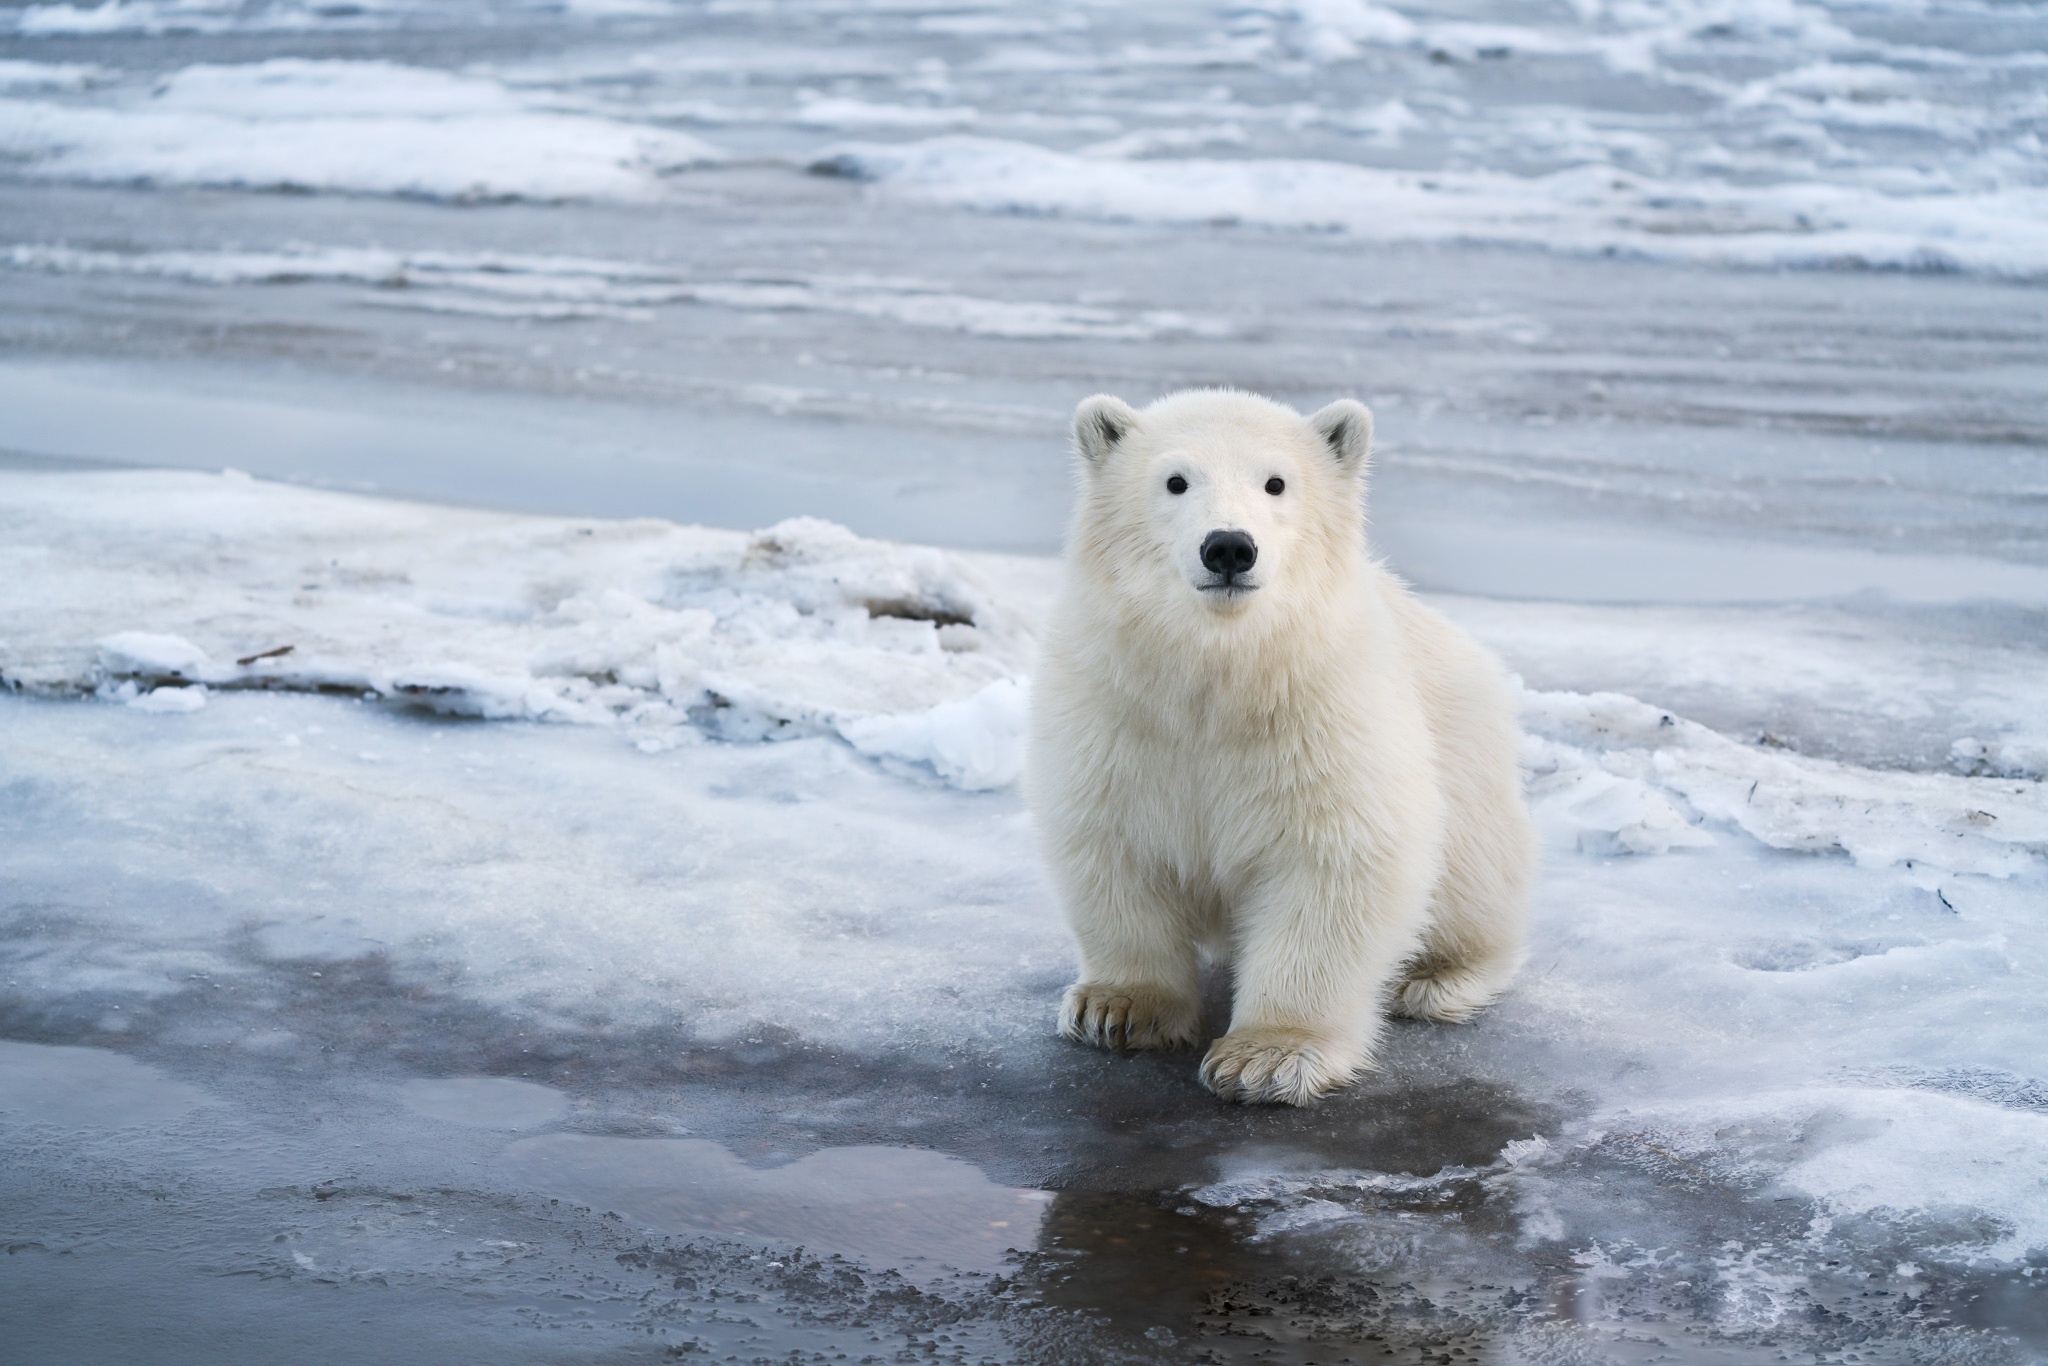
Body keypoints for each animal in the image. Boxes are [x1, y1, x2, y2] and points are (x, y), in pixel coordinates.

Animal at [1024, 389, 1540, 1105]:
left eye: (1276, 482)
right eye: (1175, 480)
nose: (1229, 547)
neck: (1222, 675)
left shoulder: (1326, 713)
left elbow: (1335, 859)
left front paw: (1266, 1057)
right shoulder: (1115, 709)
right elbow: (1112, 840)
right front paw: (1118, 1008)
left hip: (1468, 761)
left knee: (1473, 885)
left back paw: (1434, 979)